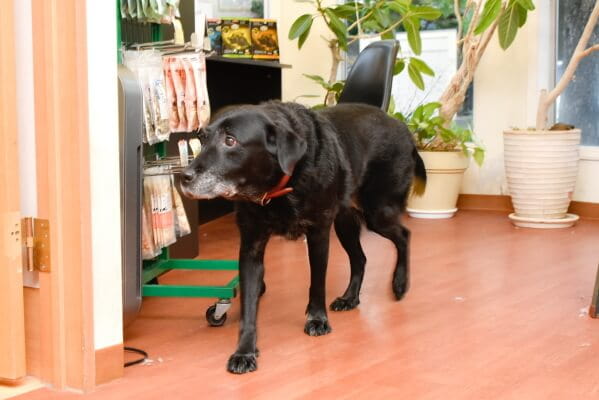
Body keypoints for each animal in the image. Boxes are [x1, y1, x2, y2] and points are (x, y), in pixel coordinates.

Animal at [179, 101, 426, 376]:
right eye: (202, 138)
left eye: (230, 141)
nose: (184, 177)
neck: (279, 188)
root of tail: (401, 126)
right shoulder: (251, 248)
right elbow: (249, 308)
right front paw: (244, 351)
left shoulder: (318, 235)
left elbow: (317, 284)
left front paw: (317, 319)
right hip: (345, 221)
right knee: (360, 258)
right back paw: (350, 298)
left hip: (377, 212)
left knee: (404, 235)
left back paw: (400, 283)